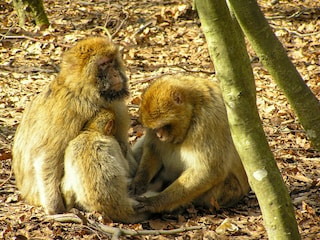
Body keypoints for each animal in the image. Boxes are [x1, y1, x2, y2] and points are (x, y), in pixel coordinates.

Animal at [11, 36, 135, 214]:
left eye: (112, 61)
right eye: (104, 64)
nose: (115, 73)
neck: (85, 93)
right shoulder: (70, 109)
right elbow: (46, 157)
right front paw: (54, 208)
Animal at [130, 75, 250, 214]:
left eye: (164, 126)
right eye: (155, 128)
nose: (159, 136)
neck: (194, 106)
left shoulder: (208, 122)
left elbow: (208, 170)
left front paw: (155, 202)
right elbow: (153, 148)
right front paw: (139, 181)